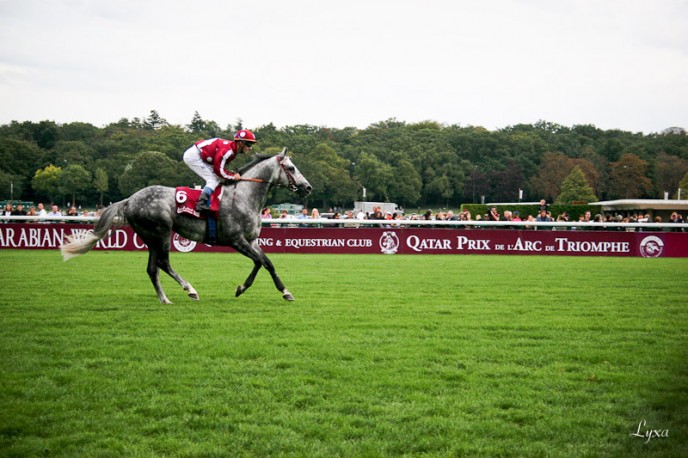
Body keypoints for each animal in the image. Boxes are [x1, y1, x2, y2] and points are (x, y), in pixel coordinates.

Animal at [60, 148, 314, 302]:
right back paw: (189, 289)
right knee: (163, 263)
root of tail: (130, 199)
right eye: (291, 168)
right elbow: (261, 262)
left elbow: (266, 263)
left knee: (152, 268)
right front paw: (246, 289)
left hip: (150, 237)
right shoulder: (236, 240)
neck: (243, 195)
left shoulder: (251, 240)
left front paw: (281, 291)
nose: (308, 187)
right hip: (161, 232)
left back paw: (165, 299)